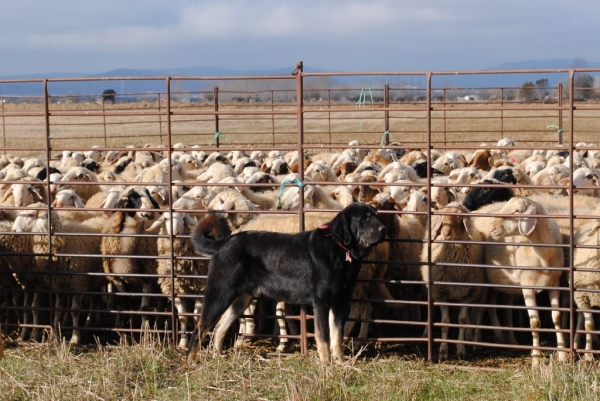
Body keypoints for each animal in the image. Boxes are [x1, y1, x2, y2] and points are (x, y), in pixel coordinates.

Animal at [422, 203, 488, 360]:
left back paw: (474, 341)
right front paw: (443, 351)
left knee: (479, 312)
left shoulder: (469, 293)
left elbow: (462, 320)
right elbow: (445, 322)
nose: (446, 233)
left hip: (481, 291)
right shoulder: (441, 293)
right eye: (442, 215)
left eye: (459, 217)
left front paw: (461, 349)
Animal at [474, 195, 568, 364]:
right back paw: (477, 343)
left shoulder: (555, 284)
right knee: (481, 307)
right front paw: (536, 359)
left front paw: (563, 354)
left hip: (504, 283)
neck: (543, 255)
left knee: (499, 307)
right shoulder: (527, 286)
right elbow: (535, 322)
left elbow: (556, 317)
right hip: (483, 279)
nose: (492, 228)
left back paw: (508, 339)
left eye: (517, 211)